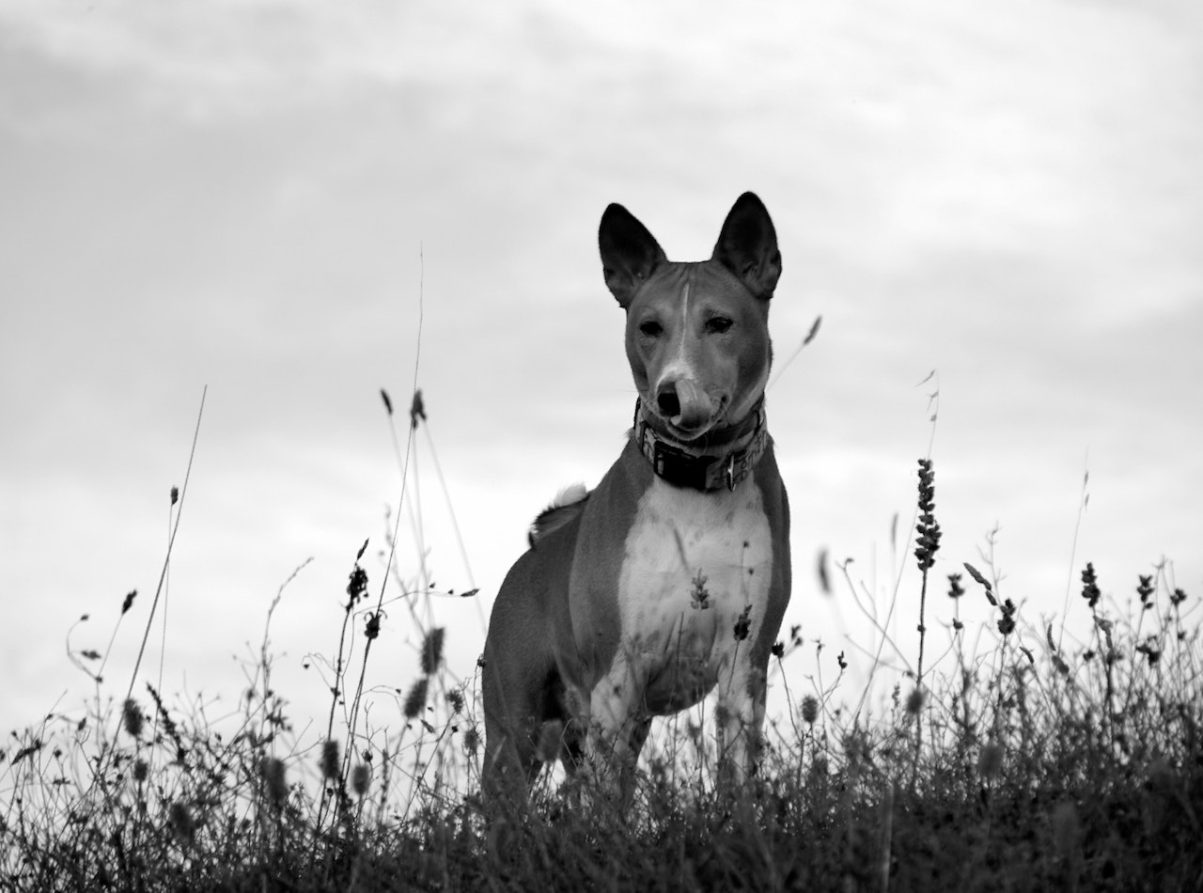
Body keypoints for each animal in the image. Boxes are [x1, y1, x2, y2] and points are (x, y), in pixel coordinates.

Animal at [478, 192, 789, 808]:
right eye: (650, 327)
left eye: (720, 323)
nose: (670, 395)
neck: (696, 486)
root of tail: (529, 557)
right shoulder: (616, 677)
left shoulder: (744, 666)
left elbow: (737, 783)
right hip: (515, 734)